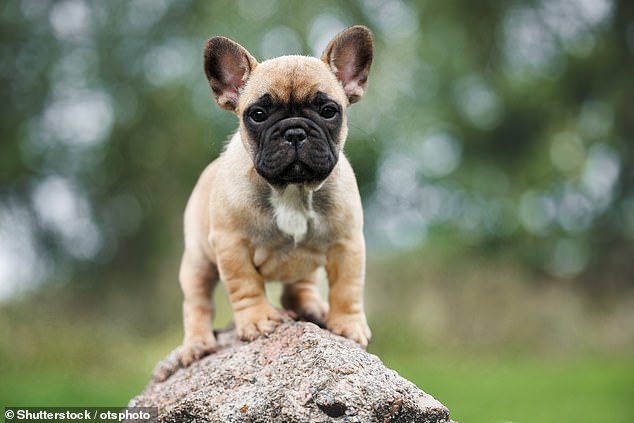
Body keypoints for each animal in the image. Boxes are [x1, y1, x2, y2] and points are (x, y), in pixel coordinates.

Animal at [174, 25, 370, 372]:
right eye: (258, 114)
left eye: (329, 111)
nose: (294, 132)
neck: (292, 188)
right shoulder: (232, 245)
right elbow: (245, 285)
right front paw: (257, 320)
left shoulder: (347, 244)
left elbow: (347, 288)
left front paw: (347, 326)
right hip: (197, 261)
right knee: (197, 303)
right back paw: (196, 344)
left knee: (299, 287)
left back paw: (313, 307)